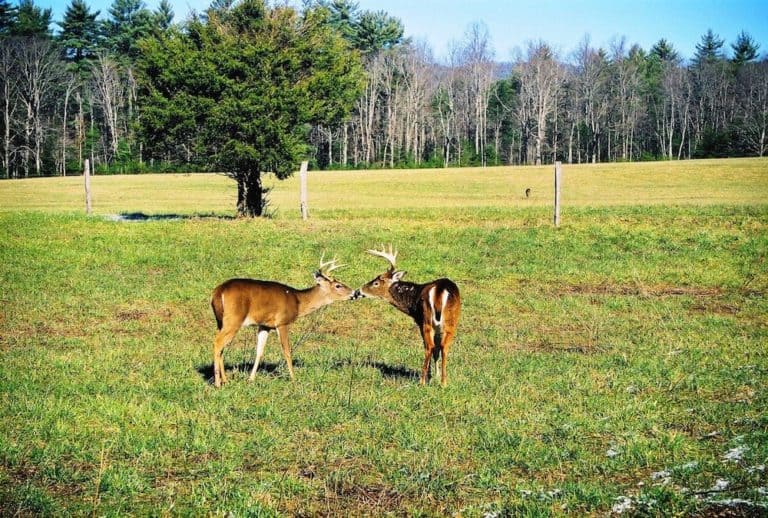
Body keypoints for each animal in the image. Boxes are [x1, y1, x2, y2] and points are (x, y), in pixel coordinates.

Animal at [210, 258, 354, 388]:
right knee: (218, 342)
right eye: (338, 285)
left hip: (220, 321)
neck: (298, 301)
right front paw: (294, 379)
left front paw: (251, 379)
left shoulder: (265, 325)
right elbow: (287, 351)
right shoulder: (282, 322)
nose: (354, 293)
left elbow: (259, 351)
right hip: (233, 319)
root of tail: (218, 291)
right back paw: (218, 383)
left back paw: (225, 380)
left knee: (221, 346)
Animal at [356, 246, 462, 388]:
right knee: (444, 347)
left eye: (376, 283)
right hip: (450, 322)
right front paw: (436, 376)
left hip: (427, 320)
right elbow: (437, 351)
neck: (412, 302)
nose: (359, 291)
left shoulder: (419, 321)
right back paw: (444, 382)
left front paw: (430, 377)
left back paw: (422, 381)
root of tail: (440, 292)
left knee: (429, 347)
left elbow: (431, 348)